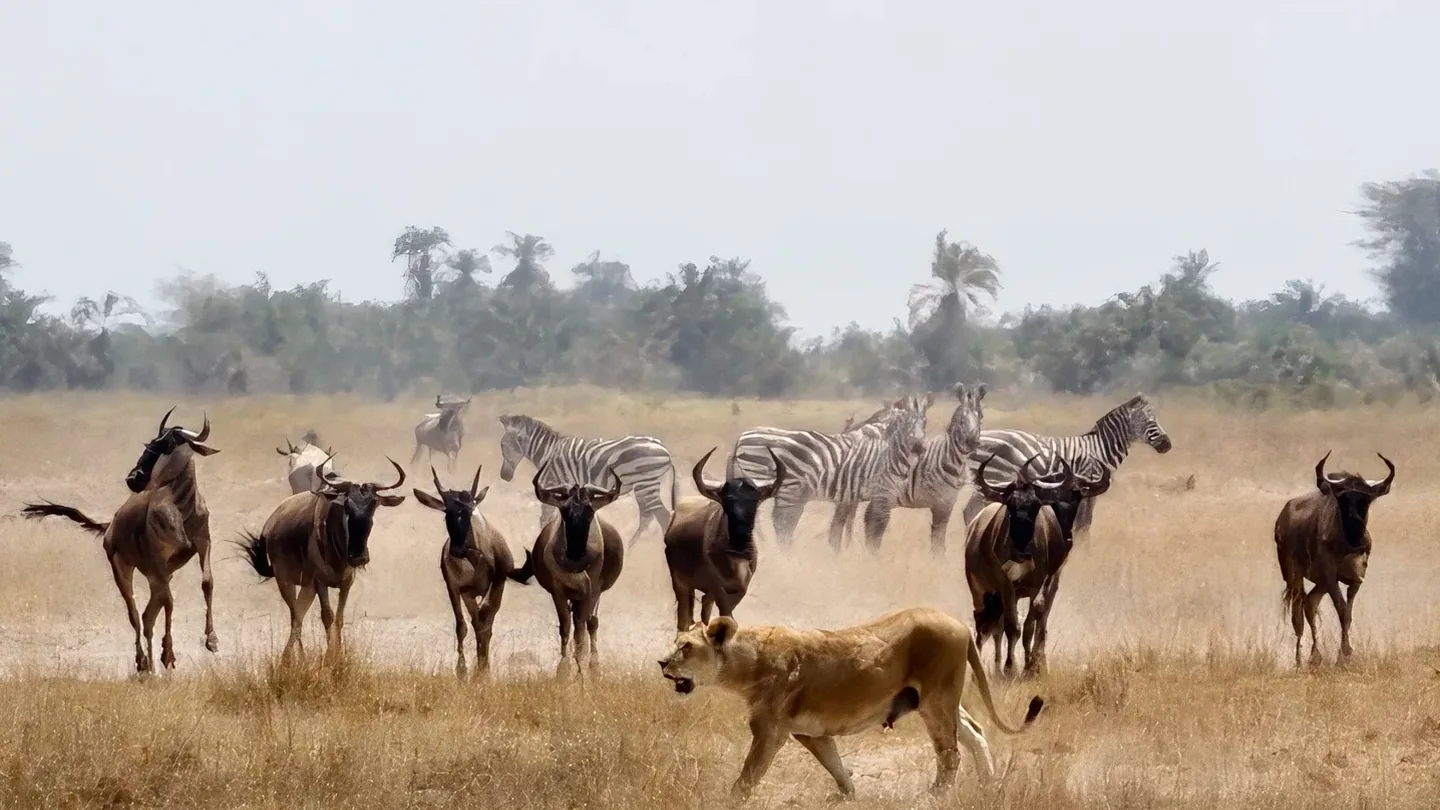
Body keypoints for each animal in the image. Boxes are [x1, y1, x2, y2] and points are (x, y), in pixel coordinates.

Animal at [497, 414, 676, 549]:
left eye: (503, 445)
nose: (504, 476)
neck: (548, 453)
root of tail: (664, 450)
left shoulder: (553, 485)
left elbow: (545, 518)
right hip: (645, 485)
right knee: (650, 515)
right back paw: (631, 548)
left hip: (646, 483)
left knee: (661, 516)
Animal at [657, 606, 1045, 800]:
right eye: (676, 643)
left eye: (686, 647)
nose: (661, 663)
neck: (744, 661)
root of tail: (959, 624)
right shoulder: (810, 733)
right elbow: (836, 765)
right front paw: (848, 795)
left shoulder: (770, 730)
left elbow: (747, 778)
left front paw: (727, 802)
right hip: (940, 701)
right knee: (975, 734)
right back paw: (988, 787)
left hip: (937, 699)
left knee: (950, 754)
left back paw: (933, 797)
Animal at [730, 405, 928, 552]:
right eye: (906, 426)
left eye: (925, 424)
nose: (920, 447)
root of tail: (741, 437)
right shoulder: (881, 494)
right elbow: (875, 525)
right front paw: (868, 554)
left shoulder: (852, 494)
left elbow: (844, 523)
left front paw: (843, 550)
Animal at [830, 382, 988, 555]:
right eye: (962, 420)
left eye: (980, 417)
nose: (973, 443)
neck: (948, 460)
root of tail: (856, 427)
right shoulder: (939, 504)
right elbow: (938, 542)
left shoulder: (948, 504)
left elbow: (938, 541)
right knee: (839, 521)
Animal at [958, 393, 1173, 538]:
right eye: (1151, 422)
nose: (1167, 445)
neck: (1099, 450)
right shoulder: (1087, 486)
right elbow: (1084, 523)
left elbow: (1082, 522)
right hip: (996, 478)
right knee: (971, 510)